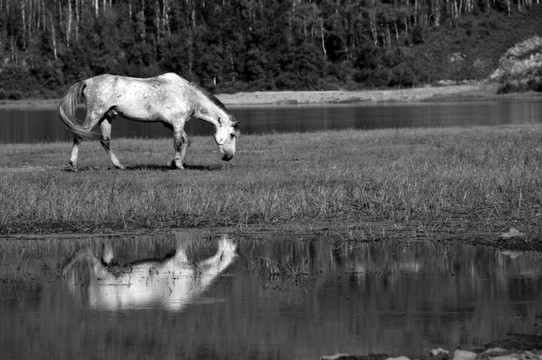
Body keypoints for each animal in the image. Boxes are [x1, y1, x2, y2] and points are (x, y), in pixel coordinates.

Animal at [58, 73, 239, 170]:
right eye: (231, 135)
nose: (229, 157)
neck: (188, 94)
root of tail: (87, 82)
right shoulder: (178, 122)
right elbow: (178, 143)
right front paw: (179, 165)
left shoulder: (170, 123)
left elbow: (186, 141)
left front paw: (176, 162)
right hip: (95, 114)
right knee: (79, 135)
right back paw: (73, 164)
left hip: (106, 117)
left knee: (105, 142)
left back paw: (119, 166)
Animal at [61, 235, 238, 310]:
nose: (227, 239)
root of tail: (92, 300)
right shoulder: (177, 257)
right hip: (100, 270)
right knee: (85, 249)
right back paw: (65, 270)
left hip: (106, 266)